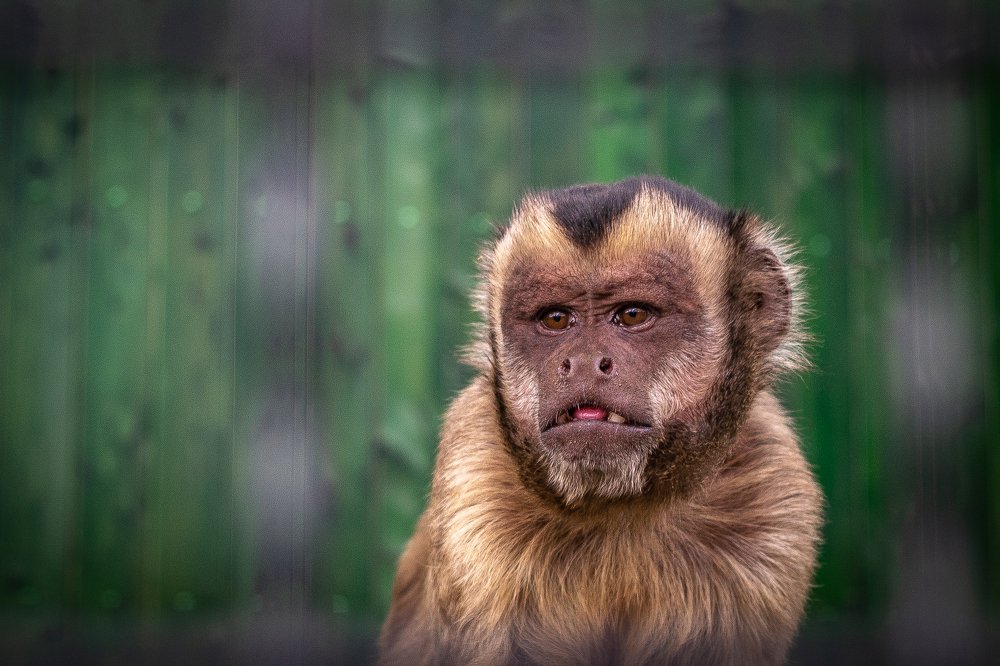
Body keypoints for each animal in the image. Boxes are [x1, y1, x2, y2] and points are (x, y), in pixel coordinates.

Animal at [379, 175, 822, 665]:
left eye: (632, 314)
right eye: (556, 319)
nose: (585, 361)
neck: (622, 505)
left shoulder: (773, 490)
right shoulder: (472, 475)